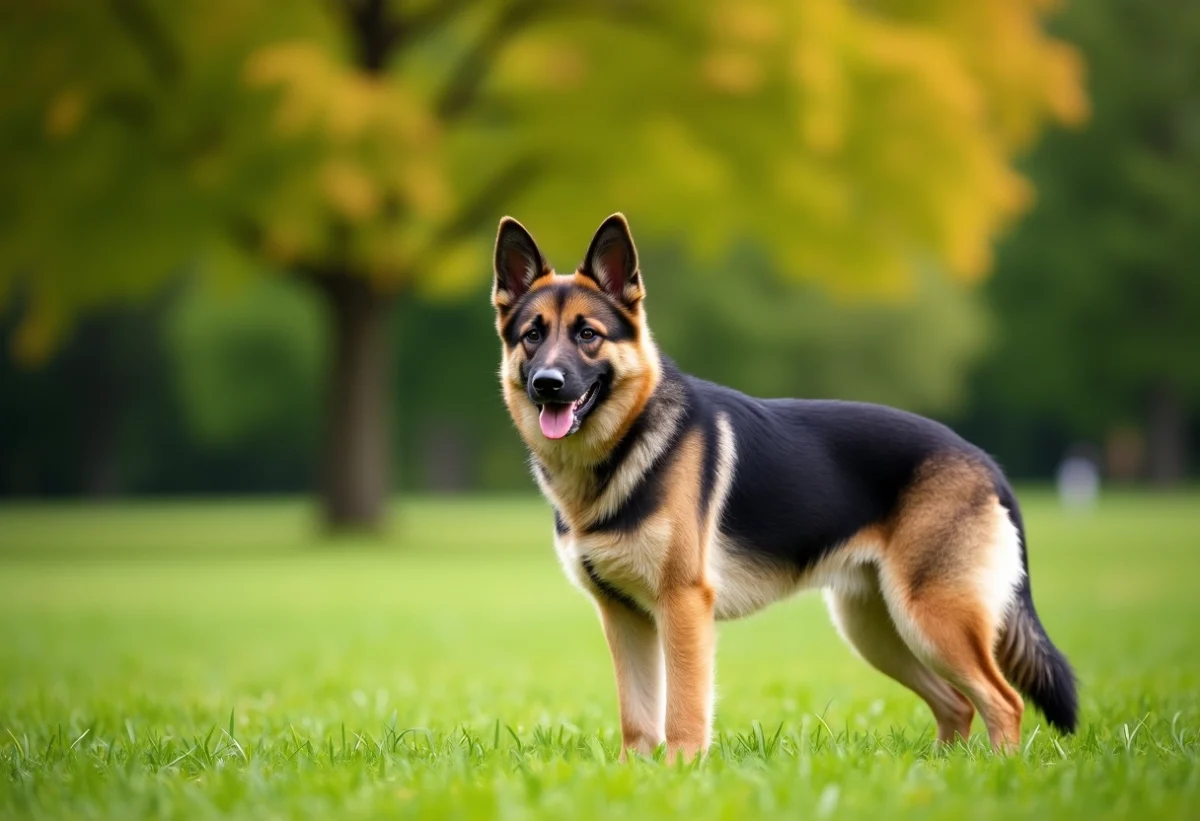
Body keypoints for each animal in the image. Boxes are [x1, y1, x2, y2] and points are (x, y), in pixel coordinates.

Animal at [489, 213, 1080, 763]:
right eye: (532, 336)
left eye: (588, 335)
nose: (547, 384)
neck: (620, 450)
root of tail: (984, 461)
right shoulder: (624, 617)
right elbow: (636, 717)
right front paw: (635, 774)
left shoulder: (683, 607)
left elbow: (683, 708)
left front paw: (681, 771)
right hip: (878, 631)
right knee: (957, 703)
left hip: (932, 619)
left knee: (1003, 701)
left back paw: (999, 772)